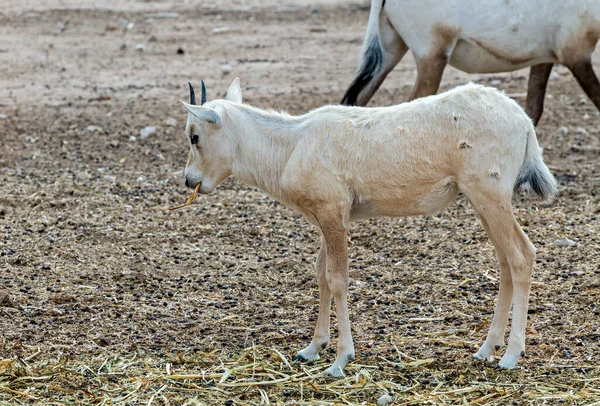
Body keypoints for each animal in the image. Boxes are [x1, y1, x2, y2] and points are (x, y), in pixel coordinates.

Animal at [182, 77, 556, 376]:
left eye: (194, 136)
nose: (189, 180)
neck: (292, 144)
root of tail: (524, 122)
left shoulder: (333, 214)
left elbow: (337, 279)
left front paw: (340, 359)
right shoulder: (326, 216)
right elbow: (321, 274)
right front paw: (311, 349)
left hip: (490, 194)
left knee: (521, 255)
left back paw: (510, 355)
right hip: (483, 201)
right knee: (505, 261)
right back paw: (485, 349)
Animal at [342, 0, 600, 126]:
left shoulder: (545, 59)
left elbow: (533, 110)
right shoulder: (576, 57)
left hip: (390, 53)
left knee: (356, 100)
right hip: (432, 57)